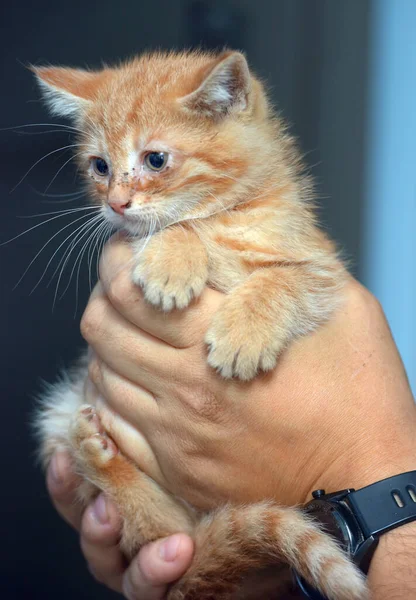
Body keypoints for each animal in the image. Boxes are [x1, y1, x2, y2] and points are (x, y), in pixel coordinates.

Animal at [35, 51, 368, 600]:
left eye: (155, 160)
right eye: (100, 166)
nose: (116, 203)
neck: (225, 220)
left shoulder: (324, 272)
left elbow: (284, 281)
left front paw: (243, 334)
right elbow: (175, 226)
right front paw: (175, 256)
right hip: (64, 412)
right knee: (161, 531)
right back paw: (96, 452)